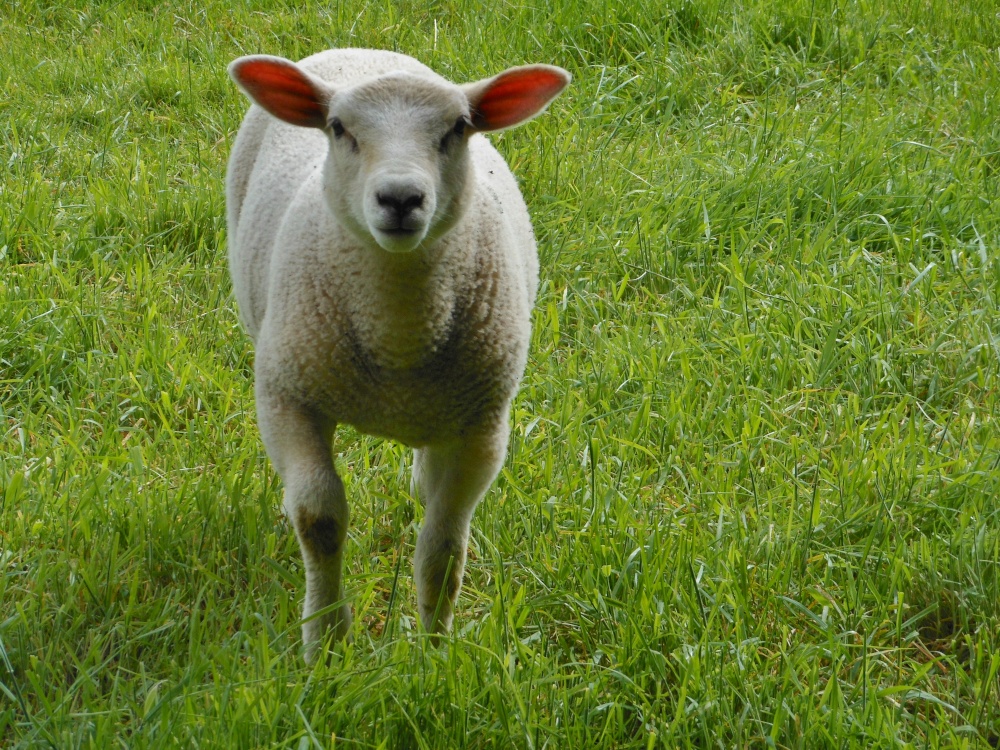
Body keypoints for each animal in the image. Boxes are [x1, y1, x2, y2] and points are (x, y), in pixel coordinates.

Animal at [226, 48, 569, 660]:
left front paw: (435, 651)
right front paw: (325, 643)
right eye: (339, 128)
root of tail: (359, 49)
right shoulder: (288, 395)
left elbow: (444, 547)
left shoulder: (483, 425)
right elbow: (319, 519)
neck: (399, 339)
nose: (401, 199)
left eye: (458, 128)